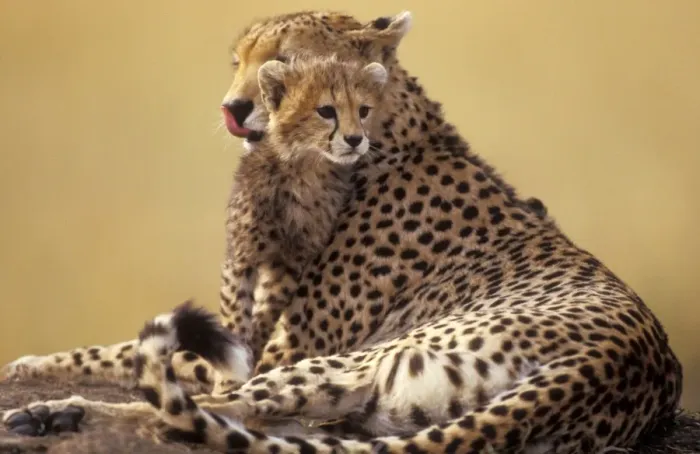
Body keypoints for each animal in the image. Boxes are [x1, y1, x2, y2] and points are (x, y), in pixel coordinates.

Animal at [2, 9, 683, 454]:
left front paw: (29, 371)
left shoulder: (271, 348)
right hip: (377, 405)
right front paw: (33, 363)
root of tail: (605, 363)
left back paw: (57, 412)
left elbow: (140, 354)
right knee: (251, 426)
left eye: (283, 60)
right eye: (237, 62)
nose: (233, 108)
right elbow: (115, 348)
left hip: (355, 363)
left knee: (189, 415)